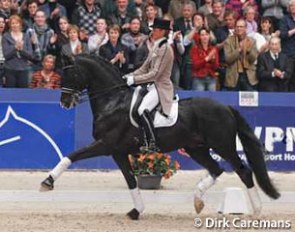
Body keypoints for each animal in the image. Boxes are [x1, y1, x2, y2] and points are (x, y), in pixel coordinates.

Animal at [40, 54, 280, 219]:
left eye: (71, 74)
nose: (64, 103)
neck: (112, 101)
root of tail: (226, 107)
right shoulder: (118, 152)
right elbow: (130, 181)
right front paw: (136, 211)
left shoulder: (106, 145)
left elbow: (72, 155)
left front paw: (47, 182)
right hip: (196, 148)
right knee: (216, 170)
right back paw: (197, 202)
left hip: (223, 146)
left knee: (243, 171)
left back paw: (256, 210)